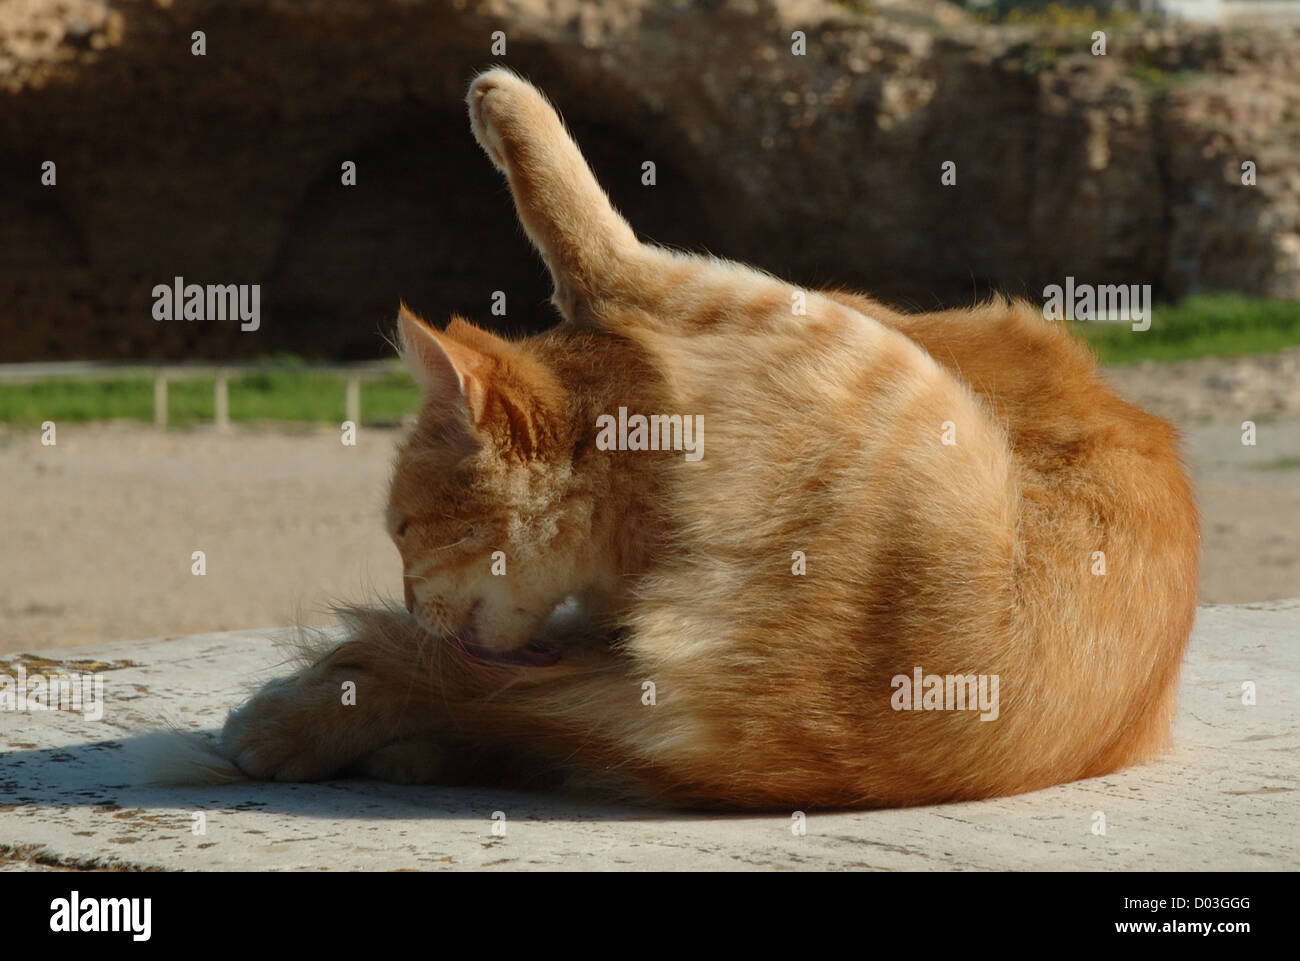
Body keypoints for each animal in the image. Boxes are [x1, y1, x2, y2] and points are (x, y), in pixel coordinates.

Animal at [215, 67, 1196, 806]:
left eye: (404, 530)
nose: (411, 603)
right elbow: (481, 701)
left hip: (761, 304)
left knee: (607, 259)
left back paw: (503, 99)